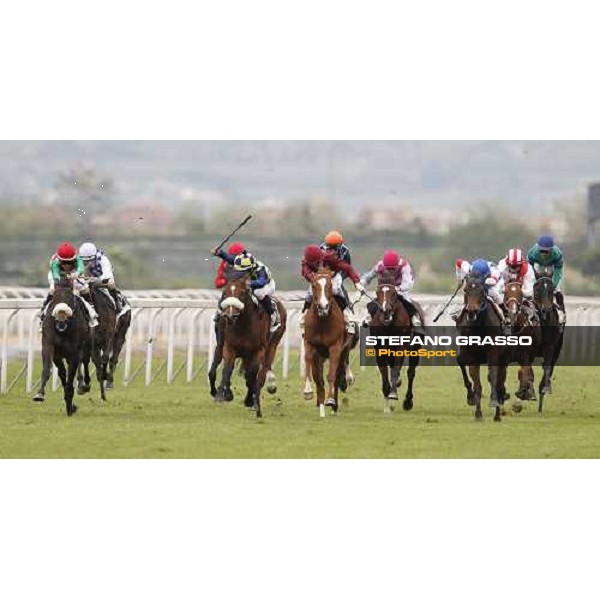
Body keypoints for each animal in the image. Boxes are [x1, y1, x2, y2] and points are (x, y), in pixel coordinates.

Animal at [32, 278, 91, 414]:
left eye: (71, 298)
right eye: (54, 297)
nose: (61, 316)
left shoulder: (74, 352)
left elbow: (71, 375)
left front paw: (70, 404)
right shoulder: (50, 345)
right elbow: (50, 370)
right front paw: (39, 394)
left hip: (86, 346)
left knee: (84, 362)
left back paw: (84, 385)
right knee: (65, 372)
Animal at [214, 274, 288, 418]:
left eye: (242, 293)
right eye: (224, 293)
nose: (229, 315)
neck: (244, 325)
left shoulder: (258, 351)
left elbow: (252, 375)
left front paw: (250, 400)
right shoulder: (229, 348)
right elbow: (227, 369)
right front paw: (221, 395)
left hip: (272, 346)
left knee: (261, 374)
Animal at [302, 268, 358, 418]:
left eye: (330, 286)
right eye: (314, 285)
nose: (323, 306)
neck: (322, 321)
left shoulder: (335, 347)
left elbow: (332, 375)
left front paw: (331, 400)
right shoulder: (310, 344)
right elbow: (312, 368)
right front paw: (308, 391)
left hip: (343, 350)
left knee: (339, 373)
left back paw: (334, 406)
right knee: (319, 380)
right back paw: (321, 408)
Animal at [458, 276, 508, 422]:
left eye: (481, 291)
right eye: (466, 290)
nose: (471, 311)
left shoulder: (493, 355)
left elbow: (494, 378)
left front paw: (494, 402)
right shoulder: (472, 357)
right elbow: (477, 386)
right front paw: (478, 413)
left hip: (504, 360)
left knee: (499, 383)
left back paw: (497, 414)